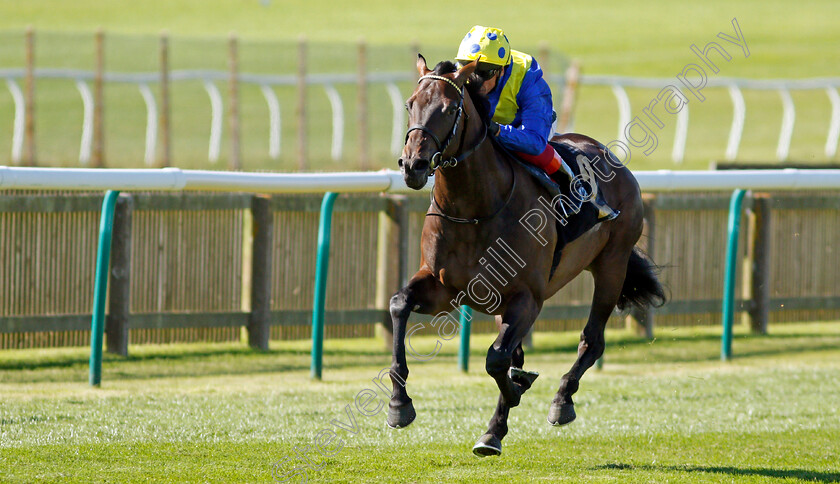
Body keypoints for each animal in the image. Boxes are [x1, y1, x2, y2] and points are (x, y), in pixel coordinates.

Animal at [390, 54, 668, 456]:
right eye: (410, 104)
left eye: (449, 108)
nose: (413, 164)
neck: (475, 207)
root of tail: (607, 154)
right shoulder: (444, 288)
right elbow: (399, 304)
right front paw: (399, 404)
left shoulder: (527, 298)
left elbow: (496, 359)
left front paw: (509, 404)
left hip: (612, 265)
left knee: (591, 340)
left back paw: (560, 401)